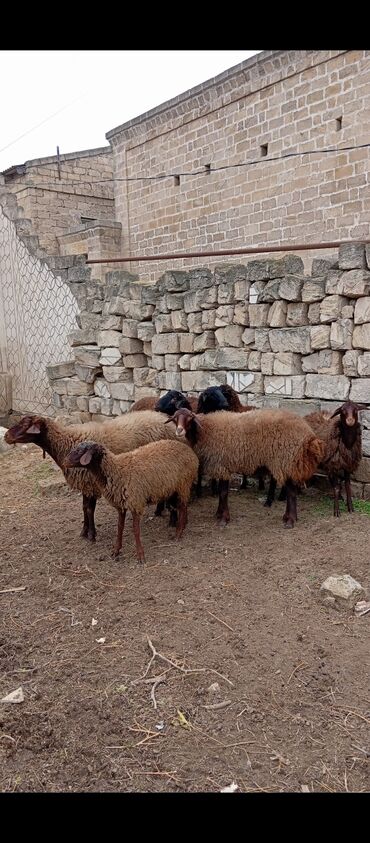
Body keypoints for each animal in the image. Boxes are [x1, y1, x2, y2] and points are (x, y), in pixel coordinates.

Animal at [4, 412, 178, 544]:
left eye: (25, 424)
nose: (6, 436)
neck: (66, 443)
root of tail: (165, 419)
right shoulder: (85, 484)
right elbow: (84, 508)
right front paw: (84, 531)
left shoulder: (91, 483)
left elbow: (89, 509)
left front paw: (91, 534)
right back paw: (159, 510)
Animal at [62, 442, 199, 560]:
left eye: (79, 451)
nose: (64, 462)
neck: (116, 470)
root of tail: (190, 452)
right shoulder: (121, 505)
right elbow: (120, 527)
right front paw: (116, 550)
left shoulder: (136, 502)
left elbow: (136, 530)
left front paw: (140, 555)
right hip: (176, 487)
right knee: (183, 506)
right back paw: (183, 525)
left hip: (183, 484)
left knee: (182, 506)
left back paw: (178, 534)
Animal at [166, 408, 326, 528]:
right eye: (175, 418)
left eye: (189, 419)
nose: (179, 431)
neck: (205, 431)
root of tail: (309, 436)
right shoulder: (221, 467)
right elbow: (221, 494)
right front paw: (219, 514)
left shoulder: (223, 466)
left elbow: (223, 493)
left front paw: (223, 519)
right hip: (287, 464)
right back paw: (288, 517)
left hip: (286, 462)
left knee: (291, 493)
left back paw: (290, 521)